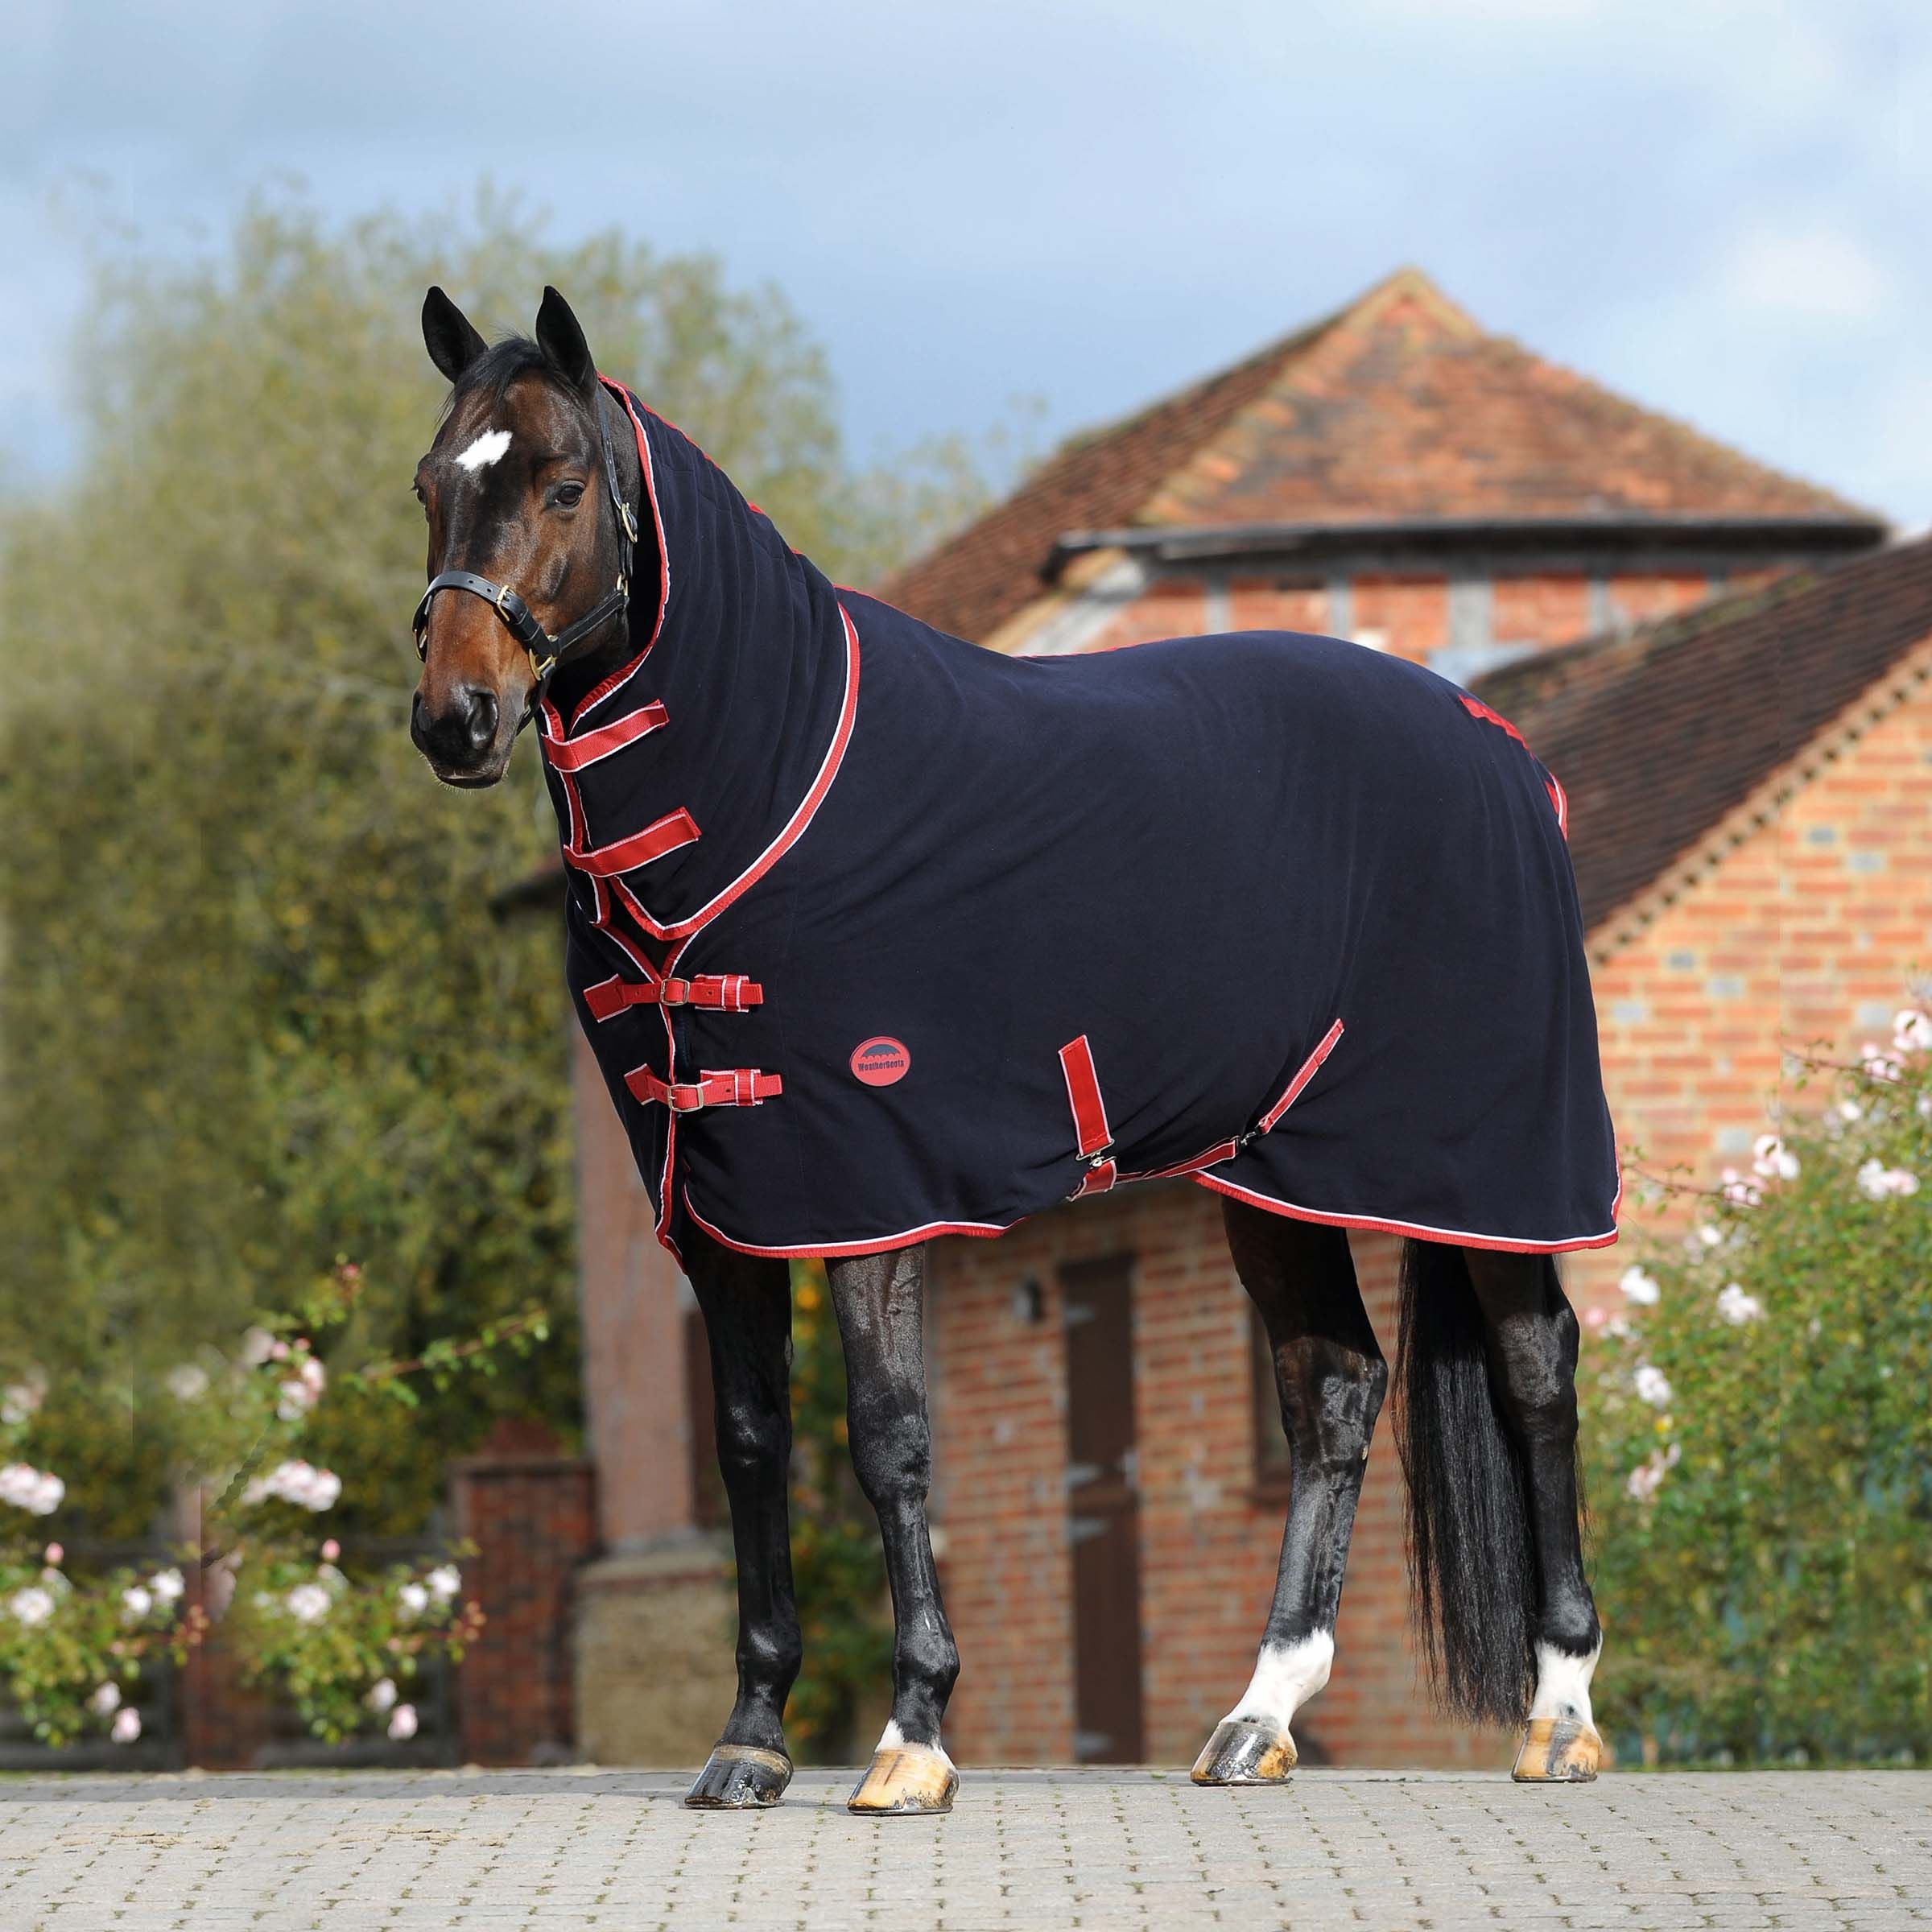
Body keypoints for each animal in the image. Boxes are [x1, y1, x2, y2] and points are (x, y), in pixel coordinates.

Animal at [408, 285, 1615, 1814]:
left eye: (563, 486)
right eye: (431, 485)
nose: (455, 719)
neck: (770, 786)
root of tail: (1504, 749)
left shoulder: (865, 1186)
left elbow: (887, 1439)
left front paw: (913, 1735)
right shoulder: (723, 1197)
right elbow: (749, 1443)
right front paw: (750, 1738)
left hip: (1486, 1164)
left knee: (1536, 1374)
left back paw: (1560, 1713)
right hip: (1277, 1176)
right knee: (1335, 1394)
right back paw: (1259, 1718)